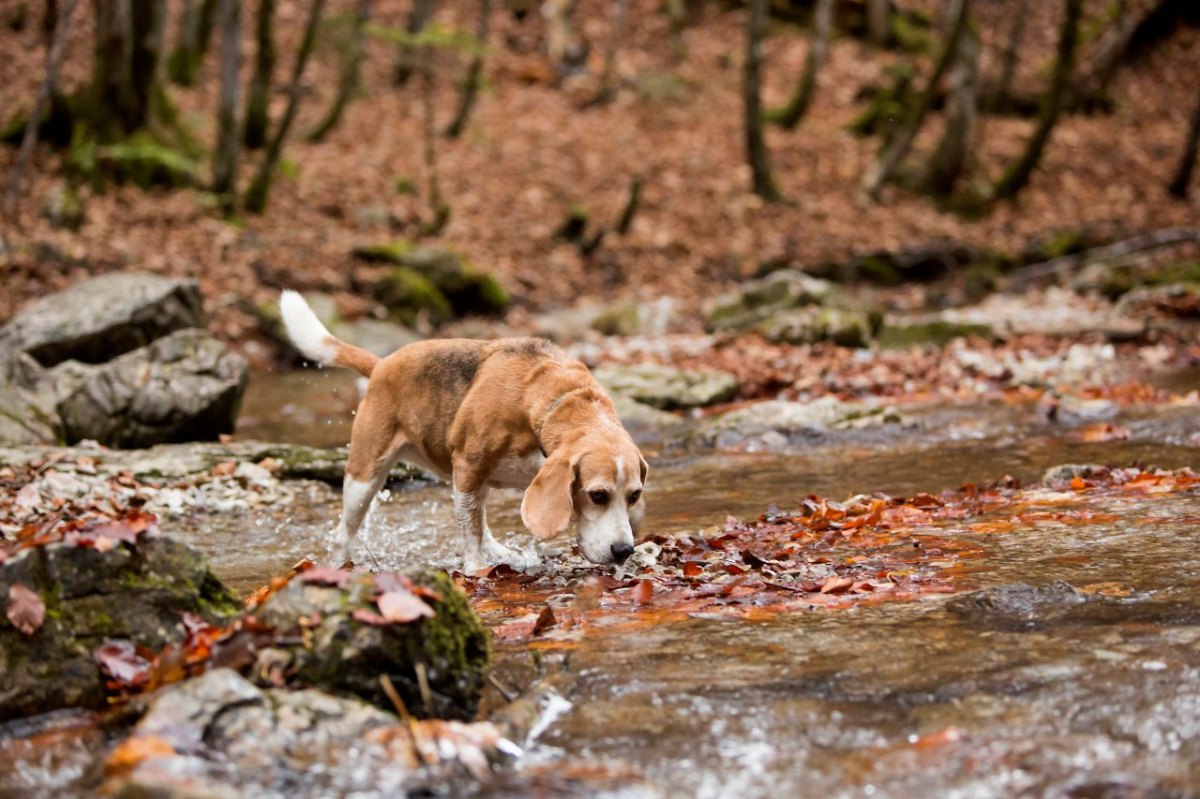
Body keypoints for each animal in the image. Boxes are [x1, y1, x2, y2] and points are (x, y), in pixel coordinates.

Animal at [278, 289, 648, 568]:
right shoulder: (469, 467)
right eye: (597, 495)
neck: (554, 400)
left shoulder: (476, 478)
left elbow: (475, 525)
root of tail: (382, 364)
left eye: (634, 495)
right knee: (344, 533)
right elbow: (469, 533)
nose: (624, 551)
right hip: (364, 477)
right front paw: (475, 570)